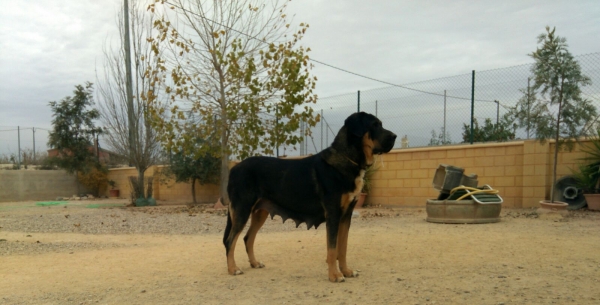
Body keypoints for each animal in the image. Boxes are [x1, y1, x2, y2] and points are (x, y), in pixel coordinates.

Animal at [223, 111, 396, 280]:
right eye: (374, 125)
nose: (394, 136)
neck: (348, 159)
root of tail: (234, 169)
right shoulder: (333, 214)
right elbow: (332, 249)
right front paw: (334, 275)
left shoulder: (346, 215)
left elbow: (343, 248)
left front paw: (346, 271)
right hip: (242, 210)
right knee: (230, 240)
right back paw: (233, 269)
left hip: (260, 212)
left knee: (247, 238)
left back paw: (254, 263)